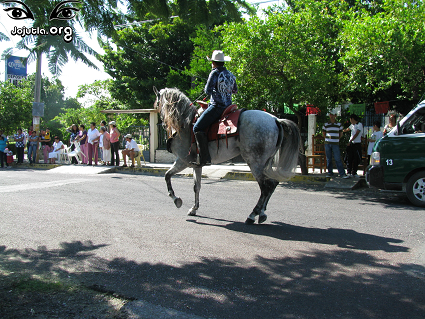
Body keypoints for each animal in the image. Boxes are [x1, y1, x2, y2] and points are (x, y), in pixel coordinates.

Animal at [154, 87, 300, 225]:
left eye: (157, 104)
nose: (162, 123)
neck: (184, 124)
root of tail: (275, 119)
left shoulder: (183, 160)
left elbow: (167, 175)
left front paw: (176, 200)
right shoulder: (196, 165)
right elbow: (196, 186)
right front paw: (194, 209)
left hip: (255, 163)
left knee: (265, 187)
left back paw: (252, 215)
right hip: (265, 163)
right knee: (272, 184)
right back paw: (262, 213)